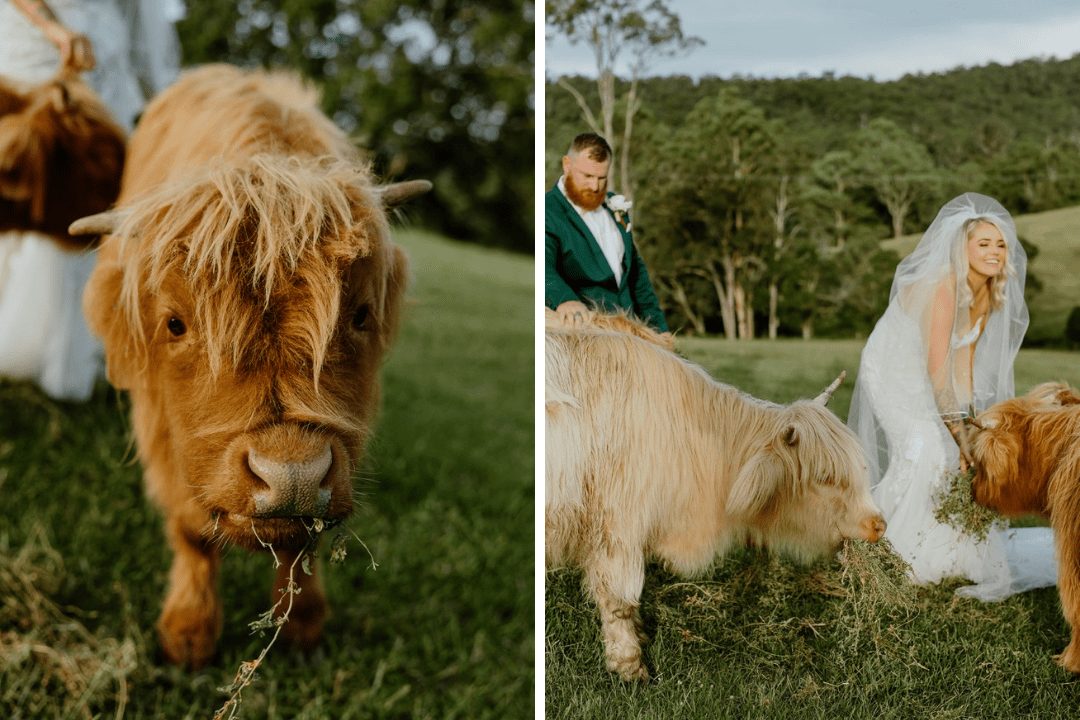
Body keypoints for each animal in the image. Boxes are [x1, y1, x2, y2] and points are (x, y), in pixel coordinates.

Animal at [66, 64, 429, 669]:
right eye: (175, 324)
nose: (292, 478)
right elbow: (191, 531)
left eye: (358, 315)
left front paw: (303, 624)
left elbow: (300, 541)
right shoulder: (162, 430)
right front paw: (189, 633)